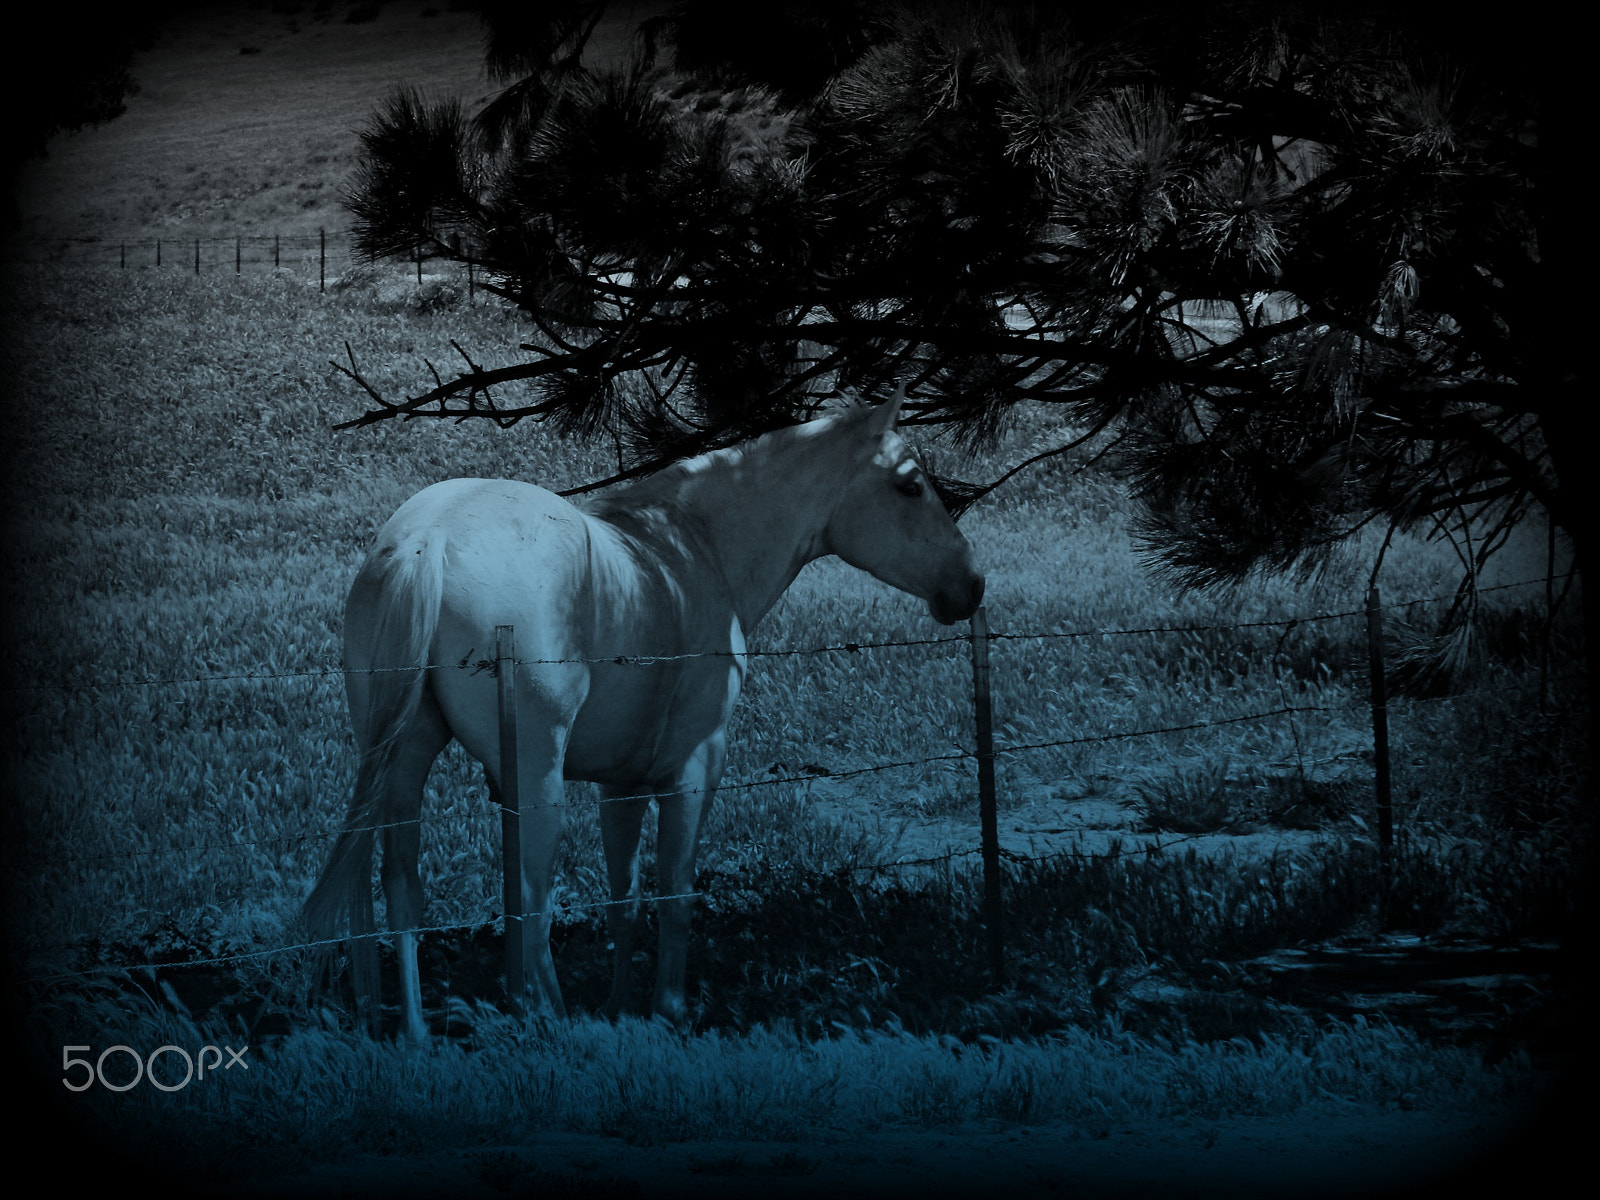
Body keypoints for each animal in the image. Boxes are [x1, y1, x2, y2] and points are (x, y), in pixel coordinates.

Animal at [299, 387, 972, 1043]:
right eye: (911, 486)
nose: (970, 585)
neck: (690, 548)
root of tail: (428, 541)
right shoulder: (695, 768)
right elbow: (675, 892)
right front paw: (667, 1010)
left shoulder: (618, 785)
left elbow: (624, 898)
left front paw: (621, 1005)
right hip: (534, 779)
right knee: (531, 894)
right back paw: (550, 1017)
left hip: (404, 761)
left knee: (403, 886)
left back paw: (417, 1034)